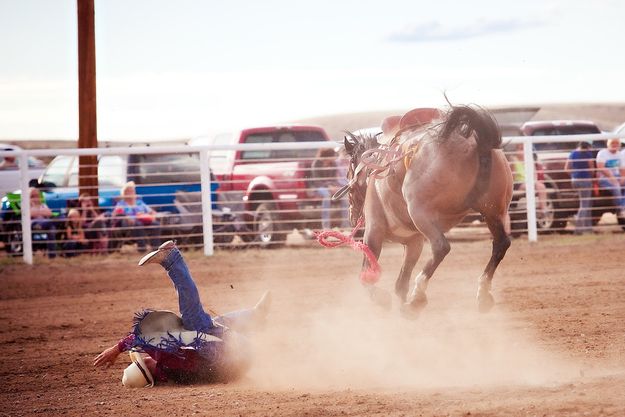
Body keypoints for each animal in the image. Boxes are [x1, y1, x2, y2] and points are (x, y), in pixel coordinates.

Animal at [342, 105, 512, 316]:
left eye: (349, 170)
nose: (351, 216)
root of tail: (476, 140)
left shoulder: (374, 231)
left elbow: (366, 276)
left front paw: (382, 299)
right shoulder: (414, 242)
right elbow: (401, 283)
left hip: (421, 213)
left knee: (441, 247)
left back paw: (418, 296)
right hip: (494, 211)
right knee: (501, 243)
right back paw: (483, 293)